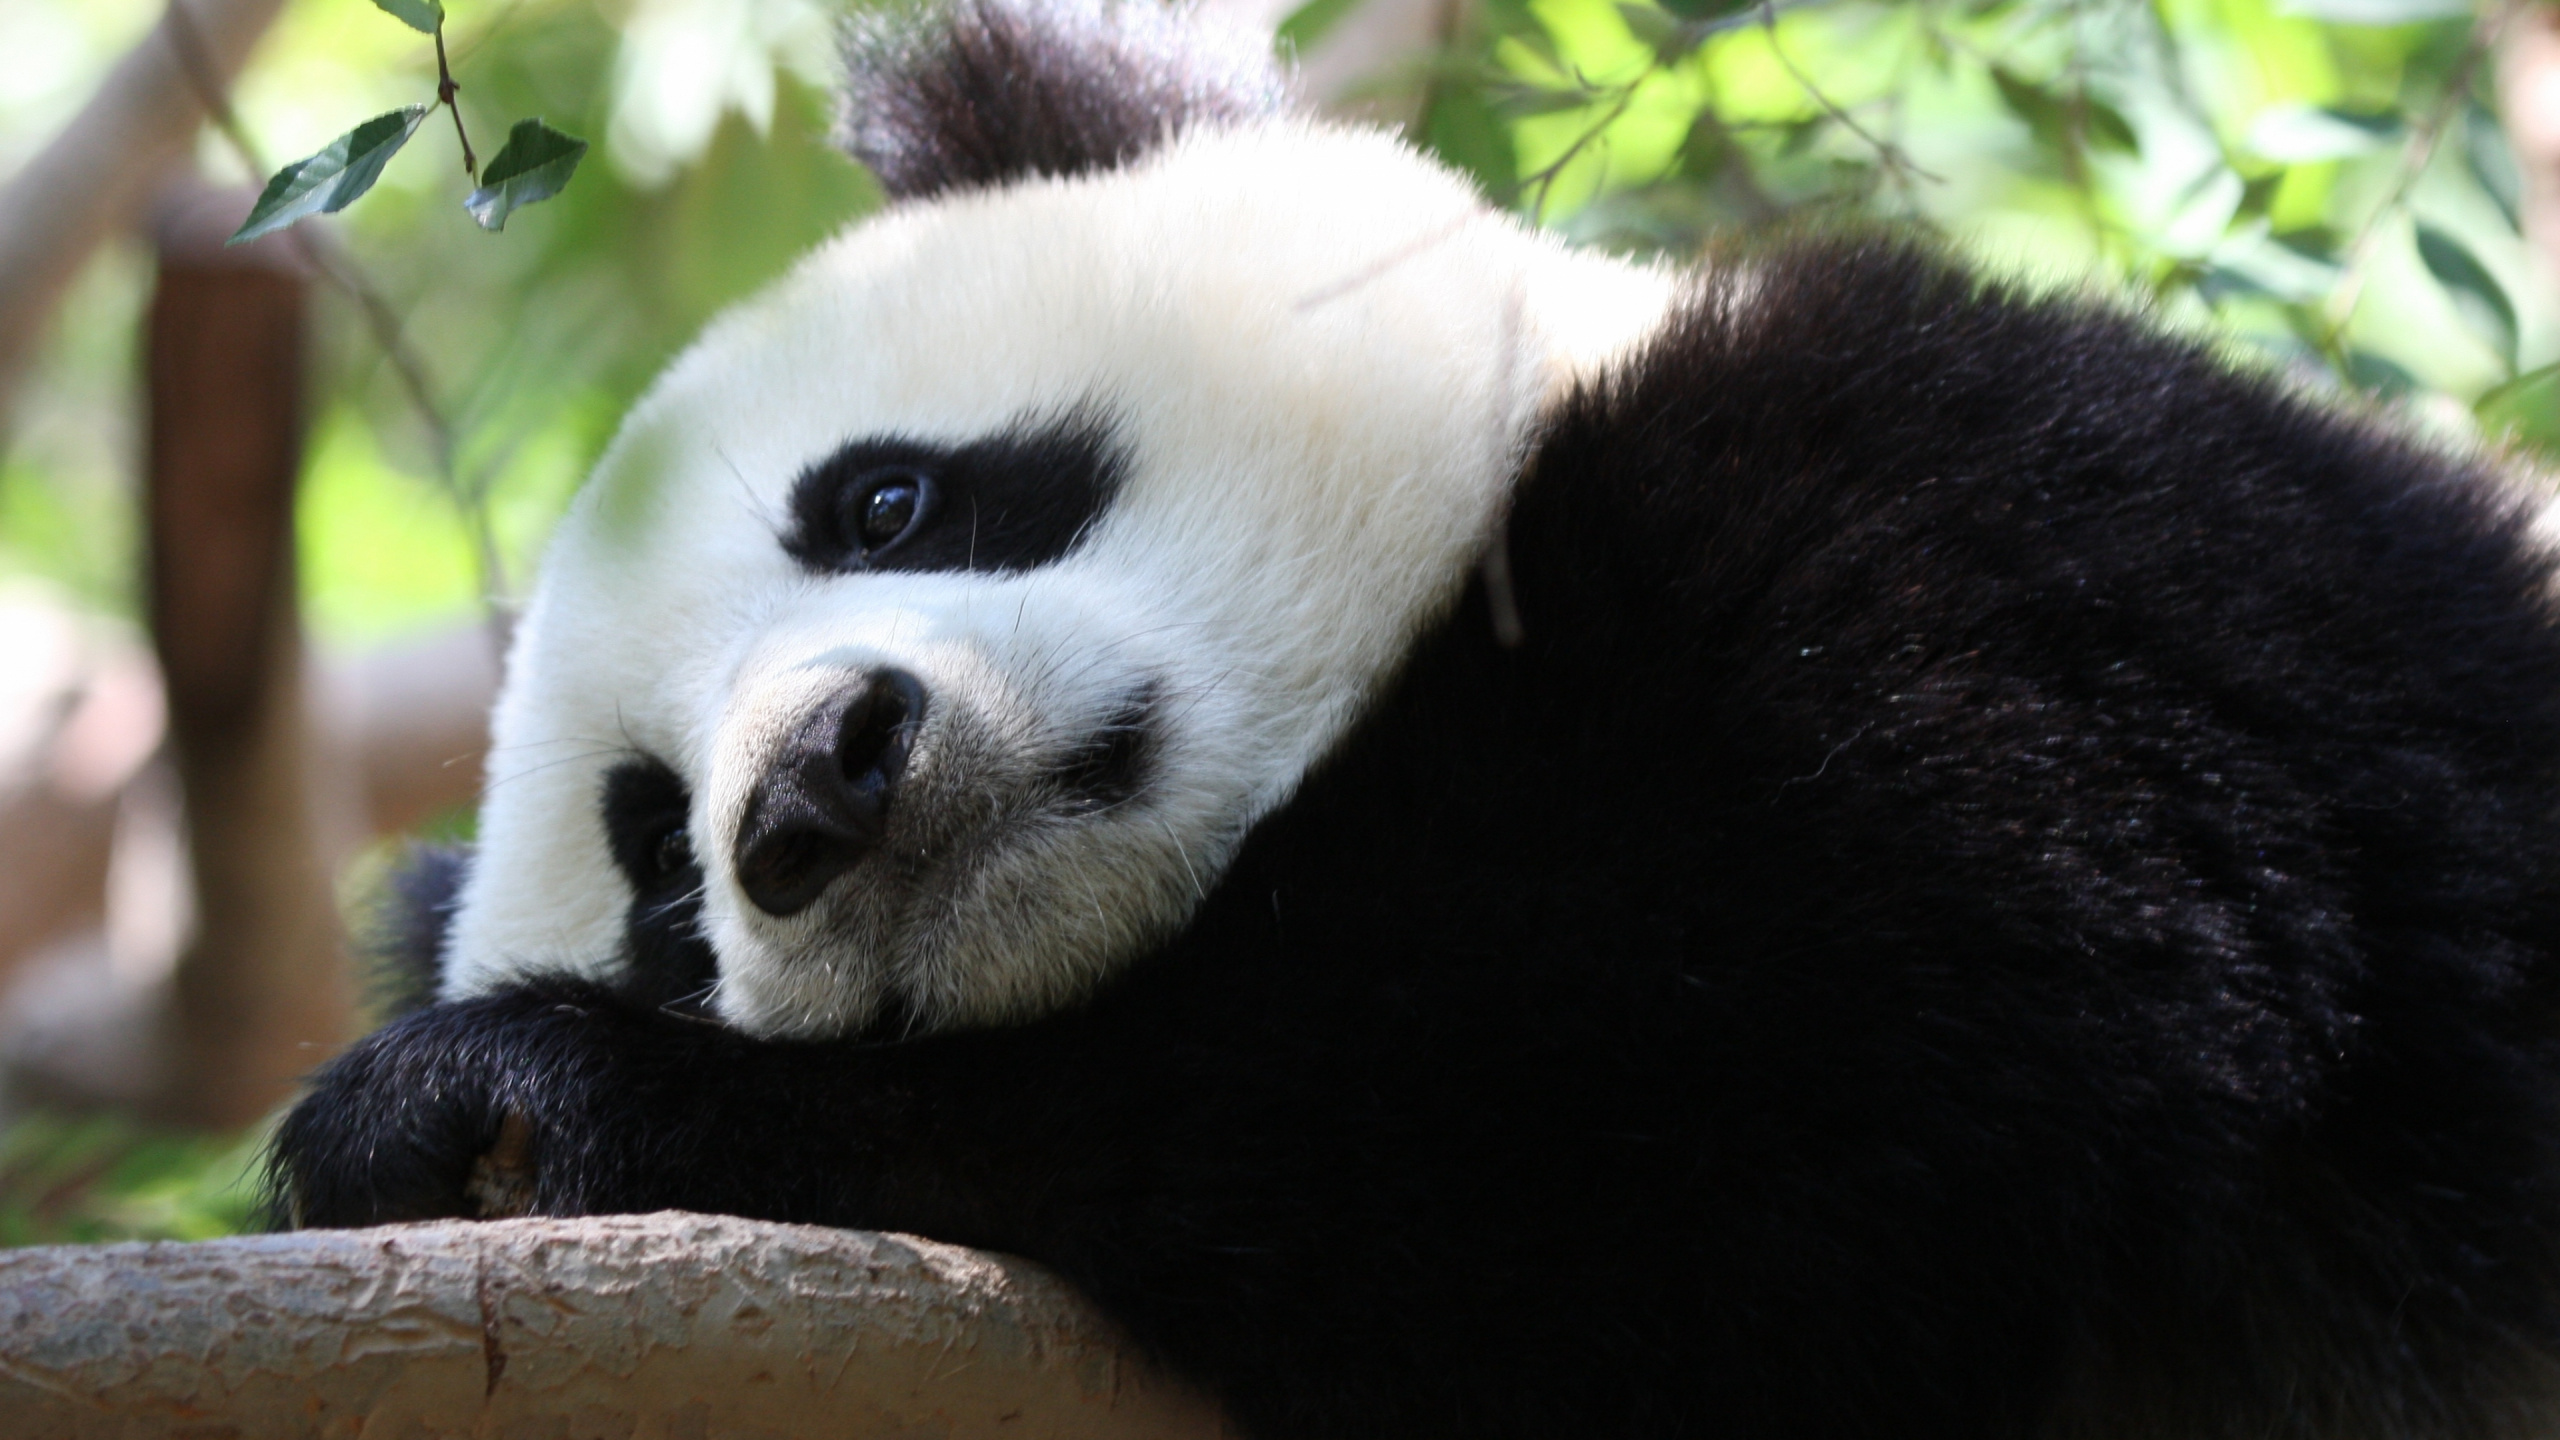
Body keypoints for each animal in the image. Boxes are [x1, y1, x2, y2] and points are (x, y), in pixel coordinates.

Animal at [273, 1, 2560, 1436]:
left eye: (886, 501)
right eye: (662, 871)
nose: (816, 791)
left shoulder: (2015, 557)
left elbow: (1707, 1090)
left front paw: (511, 1098)